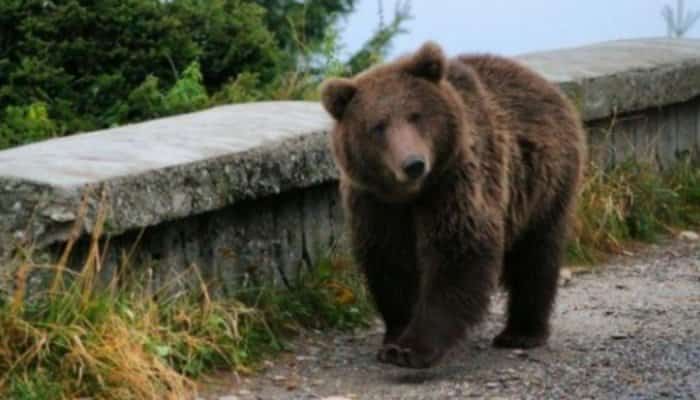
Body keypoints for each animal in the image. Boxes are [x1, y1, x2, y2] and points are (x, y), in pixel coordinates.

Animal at [322, 41, 584, 368]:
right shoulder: (375, 203)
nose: (413, 164)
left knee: (535, 255)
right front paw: (394, 338)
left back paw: (522, 332)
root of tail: (544, 83)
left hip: (544, 184)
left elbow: (457, 253)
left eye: (415, 115)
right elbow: (390, 262)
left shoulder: (454, 184)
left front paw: (412, 349)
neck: (411, 196)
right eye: (378, 126)